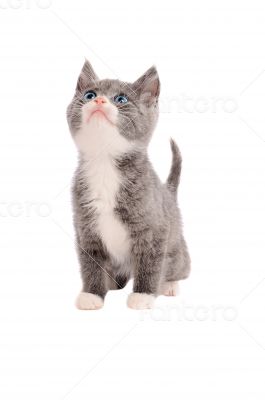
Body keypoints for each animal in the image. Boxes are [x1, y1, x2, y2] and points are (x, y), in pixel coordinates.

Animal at [66, 60, 190, 310]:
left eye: (121, 99)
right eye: (89, 94)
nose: (99, 101)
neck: (105, 165)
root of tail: (168, 192)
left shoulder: (155, 231)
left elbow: (150, 263)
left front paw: (143, 295)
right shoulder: (85, 229)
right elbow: (90, 263)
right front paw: (92, 294)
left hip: (178, 249)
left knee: (179, 267)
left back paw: (169, 284)